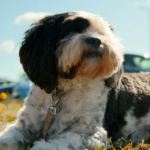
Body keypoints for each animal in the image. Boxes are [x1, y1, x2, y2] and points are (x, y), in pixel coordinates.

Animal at [0, 11, 150, 149]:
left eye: (102, 34)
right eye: (70, 31)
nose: (95, 40)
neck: (65, 89)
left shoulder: (90, 134)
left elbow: (55, 144)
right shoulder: (25, 126)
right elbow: (7, 139)